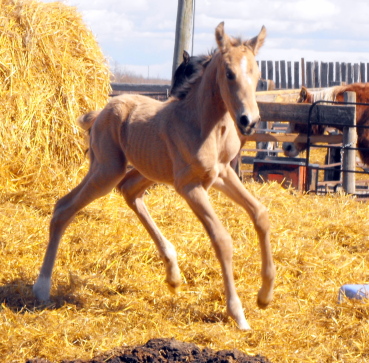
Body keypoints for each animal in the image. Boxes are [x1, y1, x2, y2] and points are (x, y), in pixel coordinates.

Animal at [33, 22, 274, 330]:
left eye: (258, 74)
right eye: (229, 73)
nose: (249, 121)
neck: (205, 124)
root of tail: (100, 113)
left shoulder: (222, 173)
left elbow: (260, 214)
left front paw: (264, 296)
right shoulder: (189, 186)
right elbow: (222, 239)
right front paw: (238, 313)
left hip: (147, 170)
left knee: (129, 191)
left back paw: (173, 274)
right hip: (107, 170)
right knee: (64, 207)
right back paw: (41, 288)